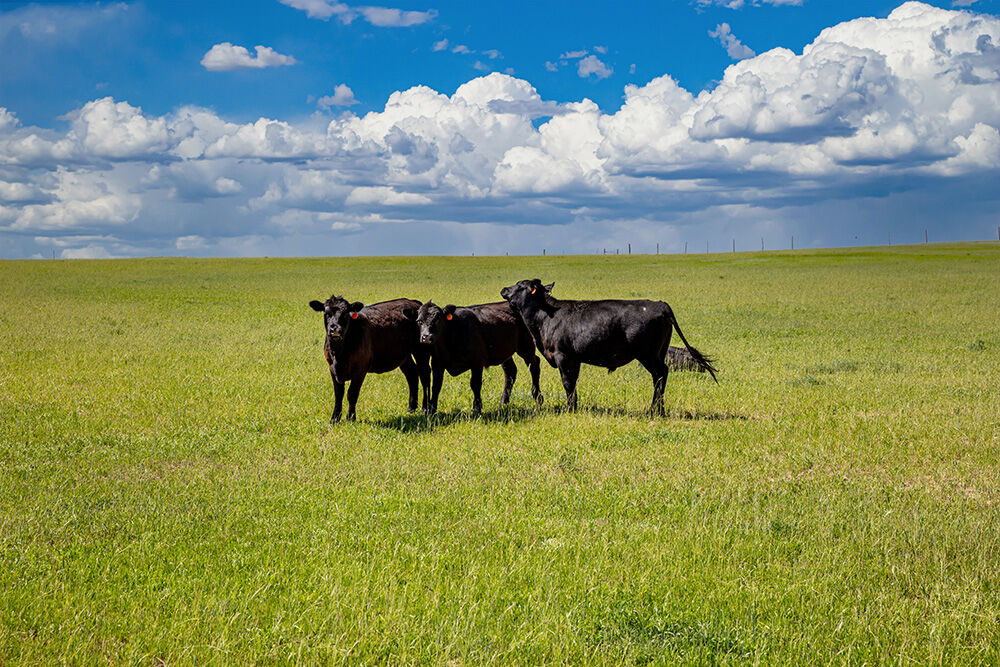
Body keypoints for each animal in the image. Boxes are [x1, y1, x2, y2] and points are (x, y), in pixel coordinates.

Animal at [500, 279, 717, 415]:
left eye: (520, 285)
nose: (503, 289)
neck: (546, 316)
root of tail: (660, 304)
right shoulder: (575, 359)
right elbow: (573, 383)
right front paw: (574, 406)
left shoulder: (564, 357)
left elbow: (567, 383)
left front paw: (569, 409)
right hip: (659, 352)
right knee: (660, 376)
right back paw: (658, 409)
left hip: (648, 355)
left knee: (660, 374)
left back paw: (655, 410)